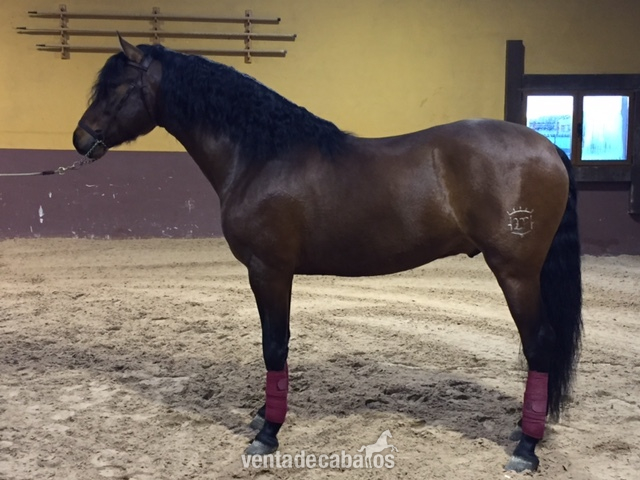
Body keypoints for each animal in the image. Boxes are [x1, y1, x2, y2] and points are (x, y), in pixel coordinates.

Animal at [73, 35, 582, 473]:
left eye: (115, 87)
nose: (80, 139)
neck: (262, 155)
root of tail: (547, 147)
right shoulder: (267, 273)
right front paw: (262, 415)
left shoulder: (270, 271)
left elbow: (274, 345)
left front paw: (268, 432)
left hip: (516, 272)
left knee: (539, 344)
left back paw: (525, 447)